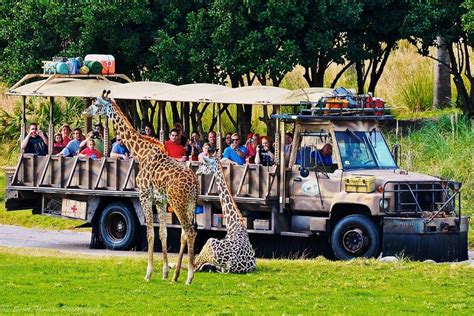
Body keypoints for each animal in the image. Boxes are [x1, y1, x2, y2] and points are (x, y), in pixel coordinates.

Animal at [86, 90, 199, 284]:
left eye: (96, 104)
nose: (85, 111)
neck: (141, 152)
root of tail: (194, 185)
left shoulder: (144, 195)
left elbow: (149, 233)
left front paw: (148, 273)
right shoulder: (160, 201)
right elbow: (163, 233)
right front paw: (164, 273)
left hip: (179, 203)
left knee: (190, 232)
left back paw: (189, 277)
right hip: (190, 205)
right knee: (186, 233)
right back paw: (176, 275)